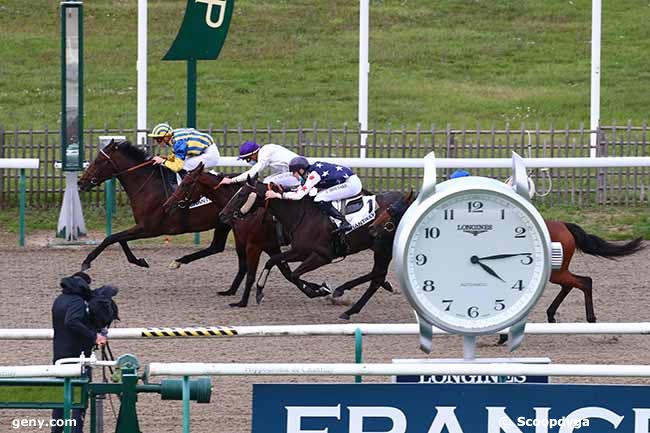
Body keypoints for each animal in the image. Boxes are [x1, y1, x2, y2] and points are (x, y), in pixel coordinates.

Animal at [75, 140, 238, 272]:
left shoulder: (149, 228)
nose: (81, 182)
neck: (148, 186)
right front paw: (140, 261)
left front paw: (87, 261)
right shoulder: (143, 227)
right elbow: (120, 239)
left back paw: (177, 261)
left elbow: (111, 238)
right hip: (223, 223)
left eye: (99, 160)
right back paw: (178, 261)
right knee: (216, 247)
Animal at [159, 163, 326, 308]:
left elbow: (254, 273)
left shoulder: (255, 245)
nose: (166, 205)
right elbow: (280, 270)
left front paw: (242, 301)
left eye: (186, 184)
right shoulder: (260, 244)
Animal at [364, 197, 644, 326]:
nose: (372, 229)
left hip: (556, 270)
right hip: (556, 270)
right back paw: (552, 315)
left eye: (392, 210)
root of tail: (564, 225)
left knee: (585, 281)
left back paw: (590, 317)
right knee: (572, 283)